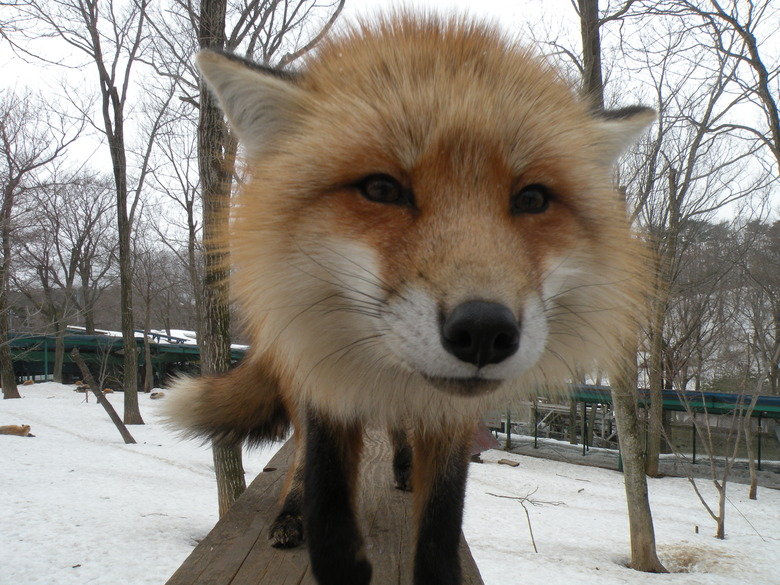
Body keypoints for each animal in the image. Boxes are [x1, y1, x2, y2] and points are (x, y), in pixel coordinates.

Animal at [166, 13, 654, 585]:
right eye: (381, 189)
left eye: (532, 198)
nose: (484, 331)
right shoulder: (323, 379)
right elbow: (328, 502)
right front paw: (338, 556)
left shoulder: (452, 419)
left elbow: (441, 521)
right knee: (301, 458)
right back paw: (290, 512)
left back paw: (400, 463)